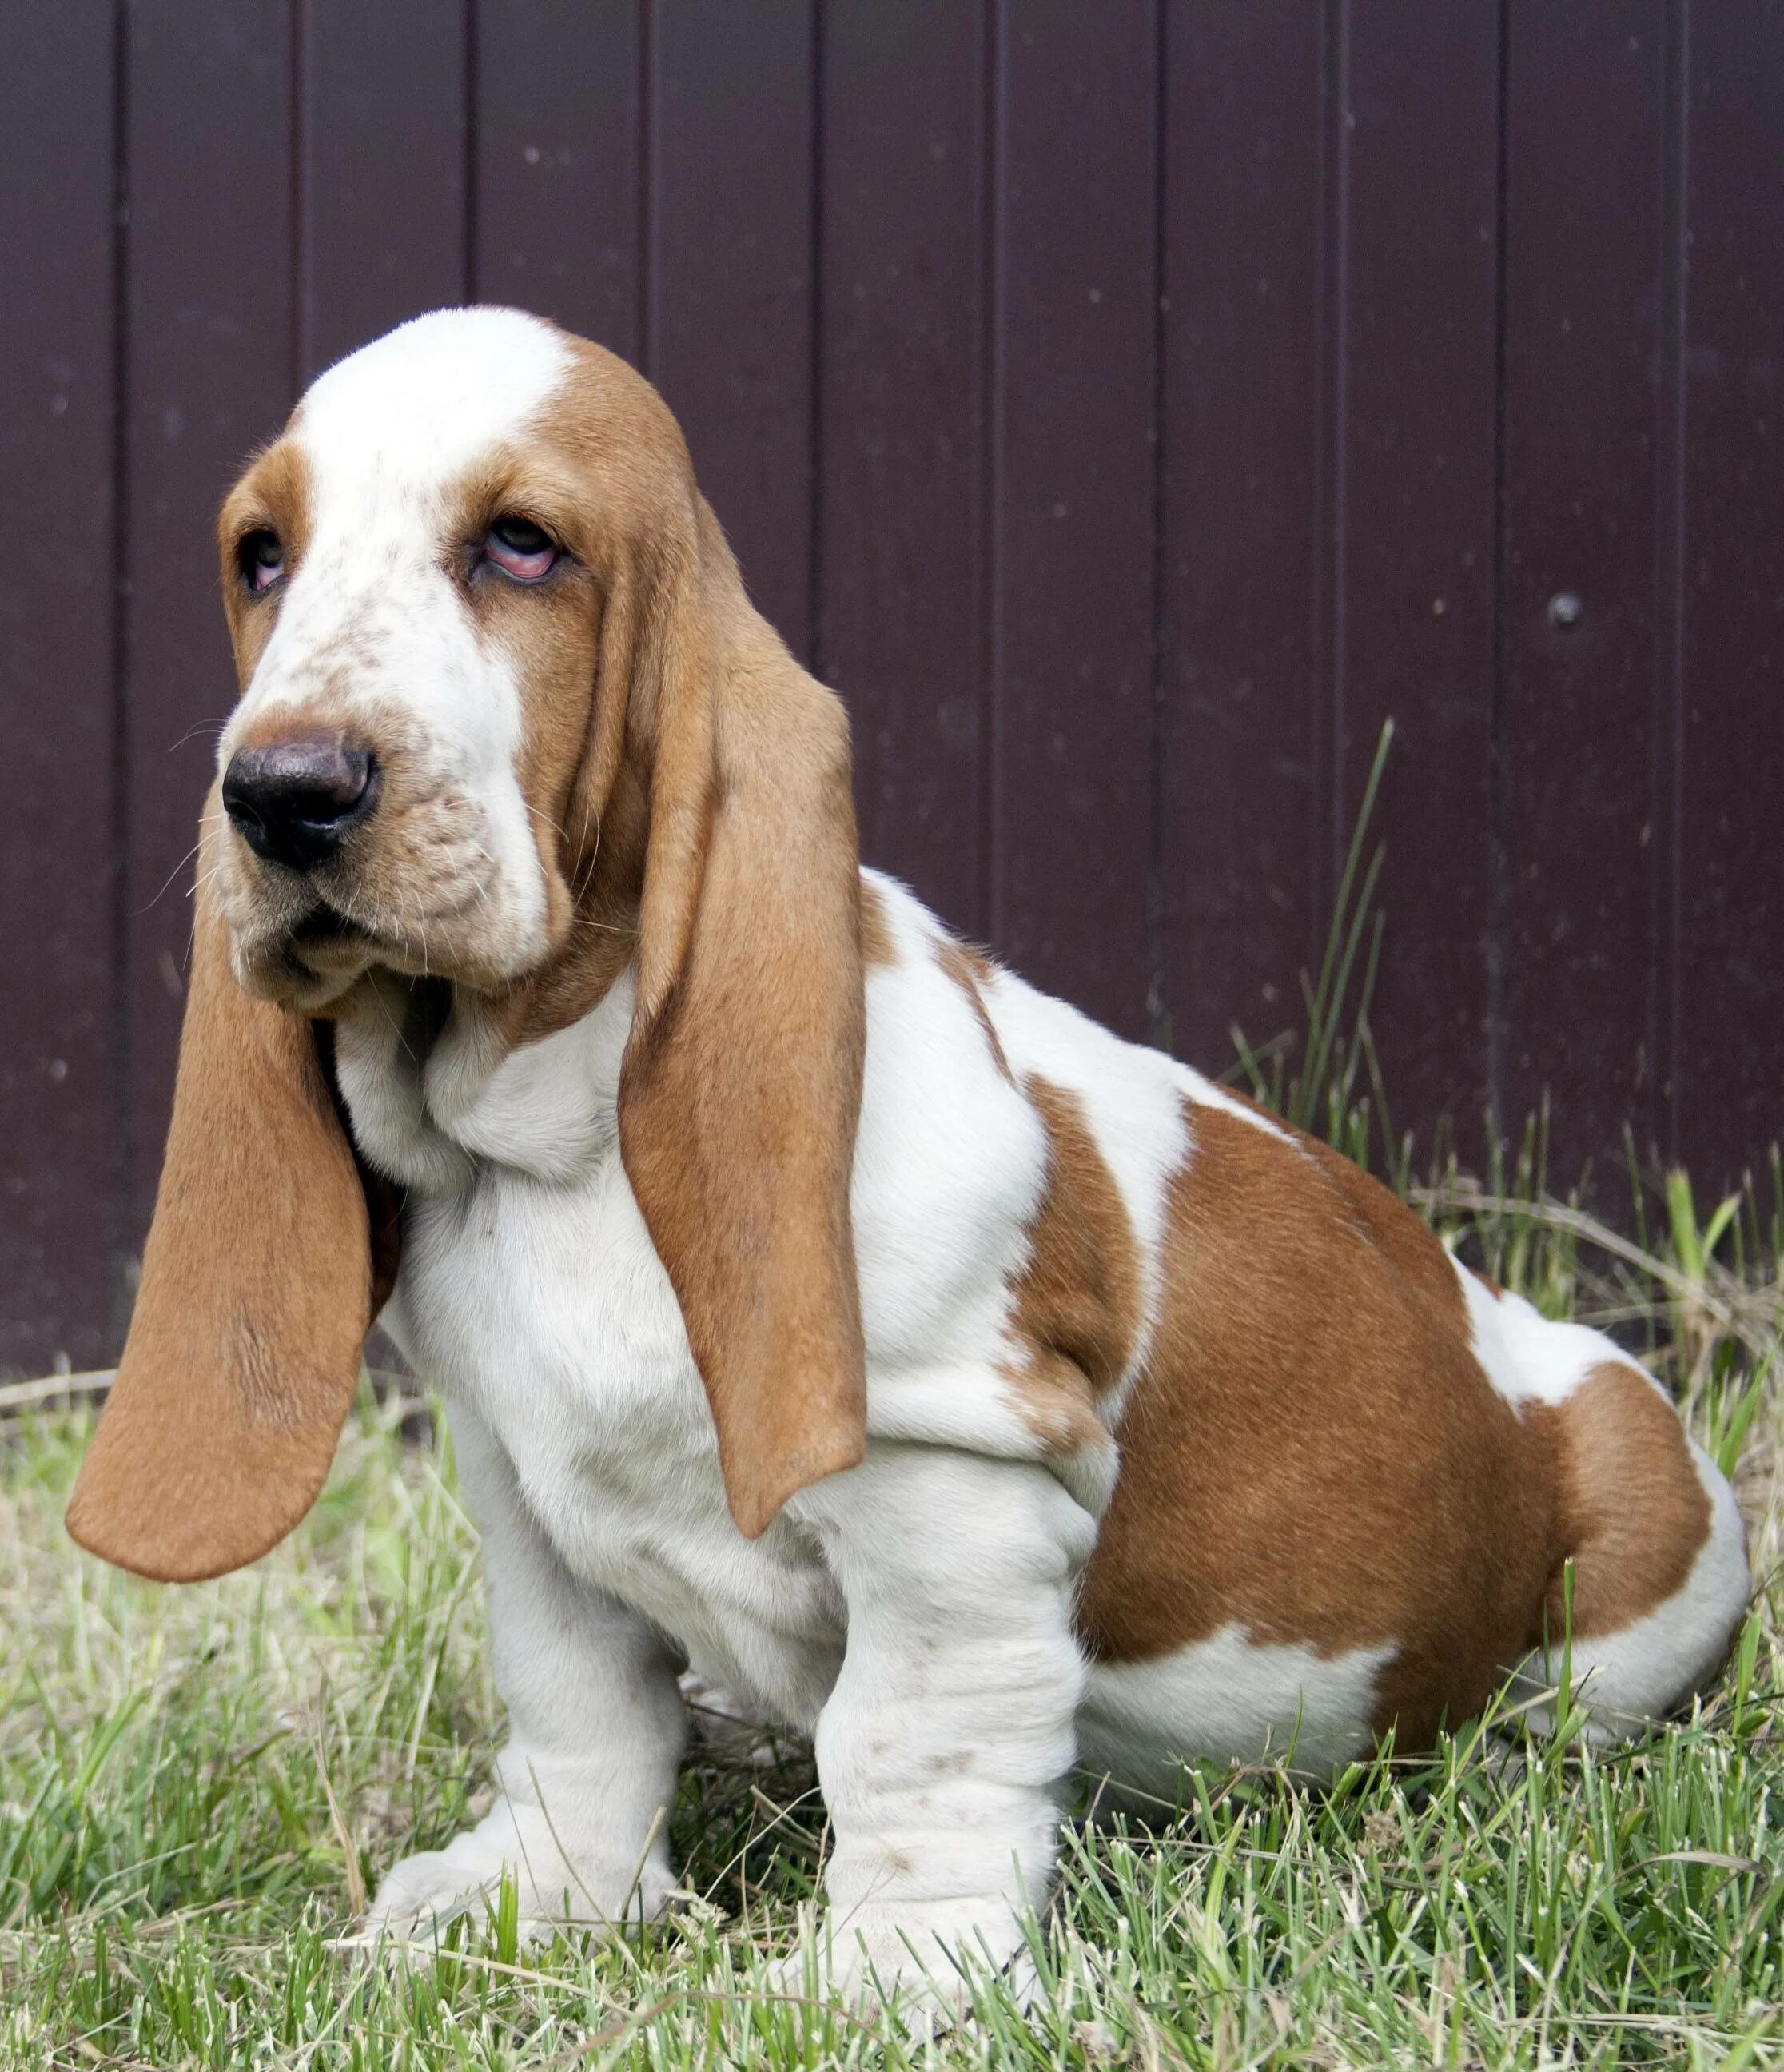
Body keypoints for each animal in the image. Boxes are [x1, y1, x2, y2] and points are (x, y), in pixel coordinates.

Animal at [66, 302, 1740, 1989]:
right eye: (261, 553)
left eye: (524, 545)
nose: (281, 791)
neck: (555, 1146)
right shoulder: (517, 1485)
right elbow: (580, 1704)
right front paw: (540, 1896)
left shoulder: (954, 1493)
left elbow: (908, 1741)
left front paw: (890, 1981)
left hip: (1656, 1521)